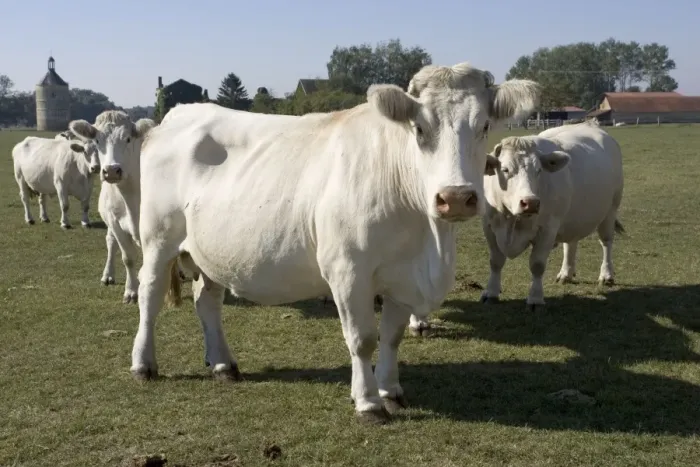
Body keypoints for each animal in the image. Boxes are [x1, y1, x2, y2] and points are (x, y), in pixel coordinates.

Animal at [67, 110, 158, 303]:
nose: (111, 170)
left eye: (128, 139)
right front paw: (131, 291)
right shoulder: (116, 222)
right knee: (111, 242)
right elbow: (128, 257)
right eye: (97, 141)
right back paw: (108, 275)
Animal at [130, 62, 540, 424]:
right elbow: (362, 339)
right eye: (420, 128)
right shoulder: (348, 270)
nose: (454, 197)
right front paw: (368, 402)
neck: (428, 241)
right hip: (158, 238)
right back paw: (143, 363)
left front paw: (391, 391)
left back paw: (222, 364)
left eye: (484, 126)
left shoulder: (402, 276)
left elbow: (392, 337)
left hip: (210, 251)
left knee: (208, 301)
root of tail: (177, 114)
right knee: (150, 295)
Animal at [477, 120, 624, 310]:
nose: (531, 202)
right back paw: (566, 273)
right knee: (570, 243)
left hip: (610, 210)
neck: (512, 220)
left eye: (539, 170)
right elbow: (495, 261)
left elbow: (537, 265)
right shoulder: (489, 226)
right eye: (505, 169)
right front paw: (491, 292)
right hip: (571, 219)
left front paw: (535, 298)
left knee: (606, 242)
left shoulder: (548, 229)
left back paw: (606, 275)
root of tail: (590, 124)